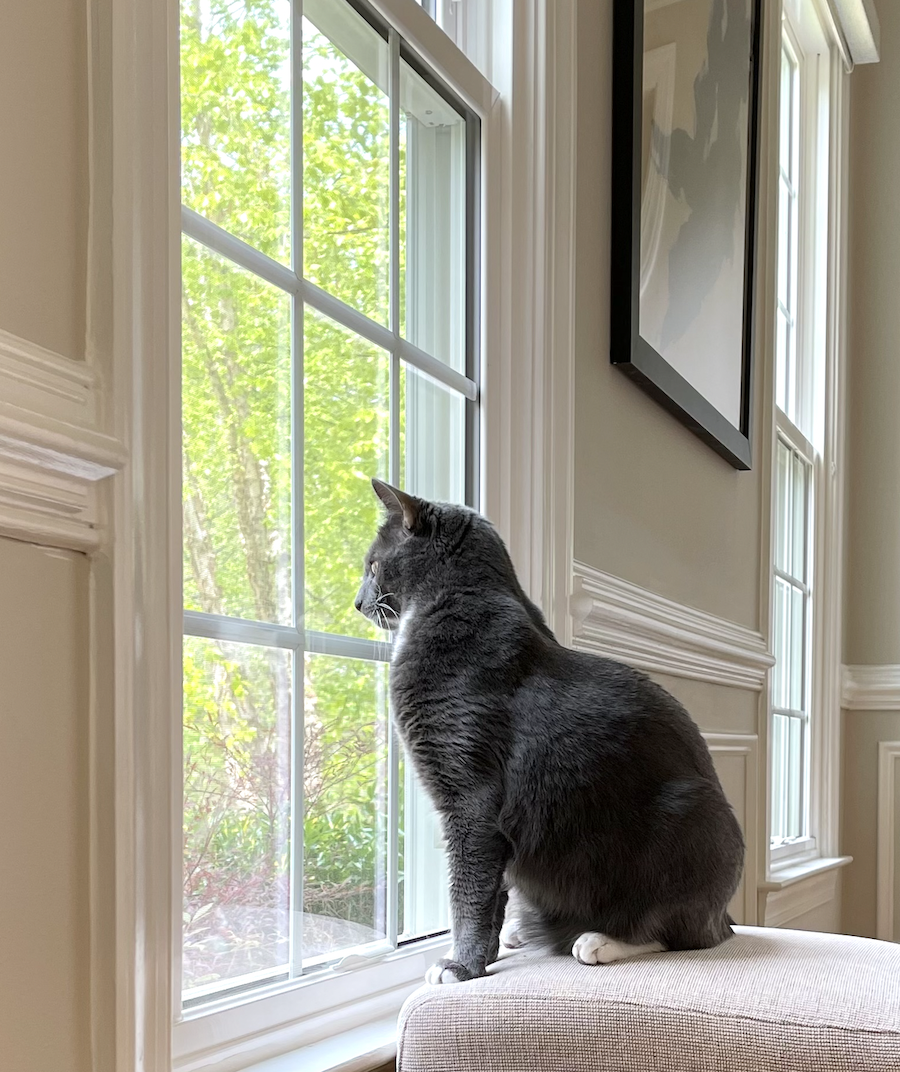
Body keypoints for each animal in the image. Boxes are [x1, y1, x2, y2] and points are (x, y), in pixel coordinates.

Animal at [355, 482, 741, 981]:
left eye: (372, 564)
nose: (357, 602)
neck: (449, 604)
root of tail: (726, 914)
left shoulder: (470, 797)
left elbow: (469, 890)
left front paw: (460, 965)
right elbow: (492, 890)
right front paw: (484, 955)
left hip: (687, 818)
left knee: (682, 932)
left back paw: (600, 939)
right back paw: (525, 932)